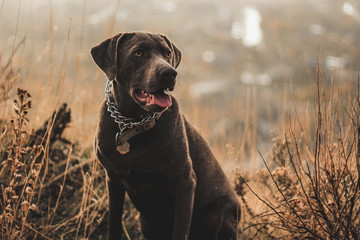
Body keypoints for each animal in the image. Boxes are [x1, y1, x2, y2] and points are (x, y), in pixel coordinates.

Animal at [90, 32, 242, 240]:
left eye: (167, 53)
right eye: (138, 52)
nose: (170, 73)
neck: (133, 125)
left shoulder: (184, 183)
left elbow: (180, 231)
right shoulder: (113, 180)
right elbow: (114, 223)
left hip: (217, 218)